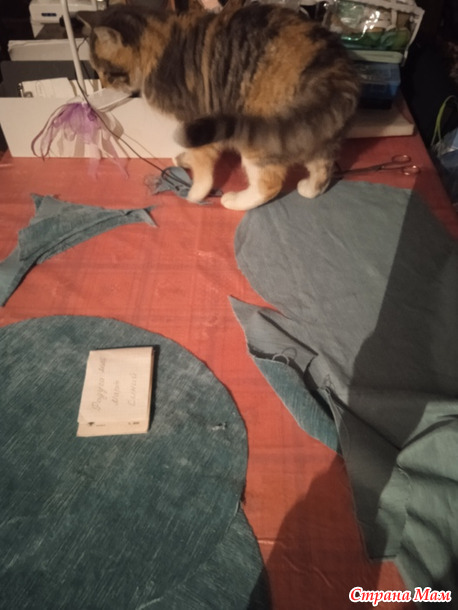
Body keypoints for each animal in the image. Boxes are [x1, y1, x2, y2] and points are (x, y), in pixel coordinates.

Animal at [78, 3, 360, 210]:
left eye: (106, 71)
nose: (102, 84)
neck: (162, 44)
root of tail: (336, 70)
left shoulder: (196, 118)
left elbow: (204, 164)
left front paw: (195, 193)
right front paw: (183, 159)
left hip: (261, 130)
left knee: (270, 183)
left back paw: (234, 201)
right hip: (312, 127)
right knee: (323, 164)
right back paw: (309, 189)